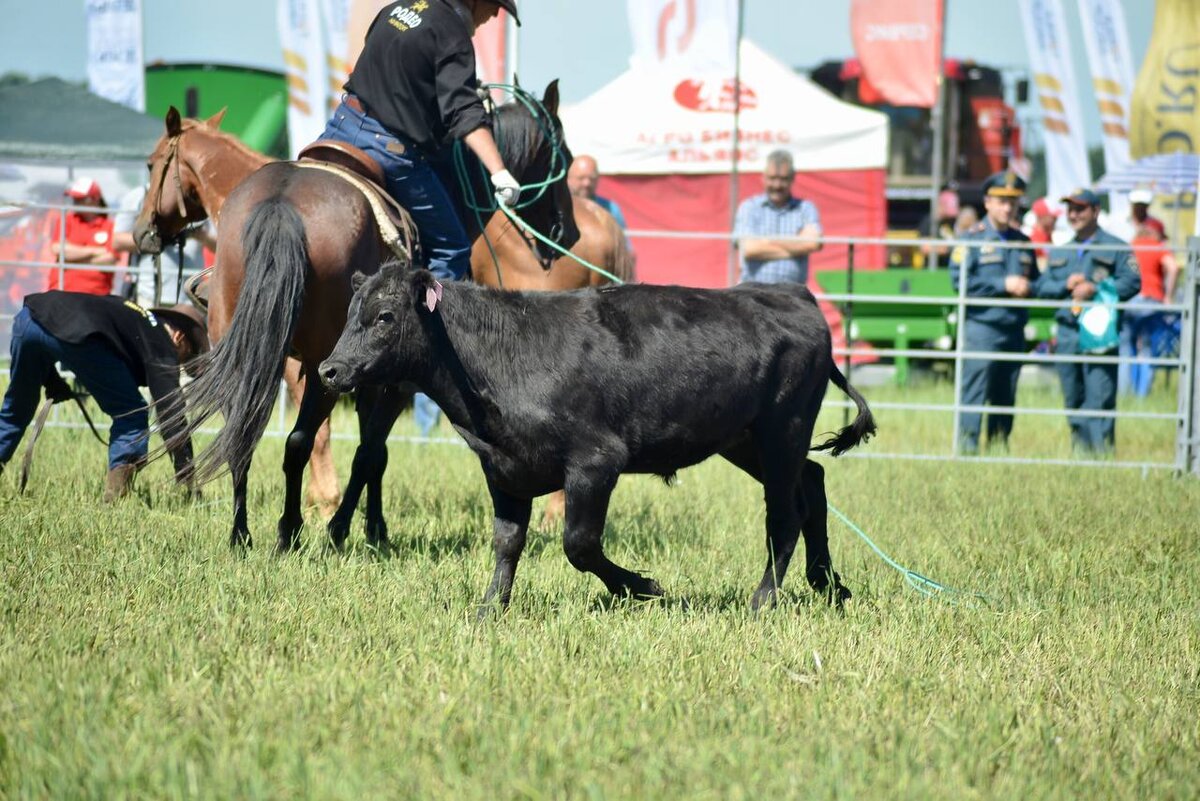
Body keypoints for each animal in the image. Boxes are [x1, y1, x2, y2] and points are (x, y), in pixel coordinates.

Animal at [137, 84, 604, 553]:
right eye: (562, 156)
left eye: (151, 163)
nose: (569, 233)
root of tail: (282, 201)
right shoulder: (389, 379)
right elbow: (370, 451)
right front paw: (347, 526)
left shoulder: (357, 373)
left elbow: (367, 449)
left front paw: (366, 525)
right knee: (295, 441)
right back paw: (288, 531)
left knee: (246, 434)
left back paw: (243, 533)